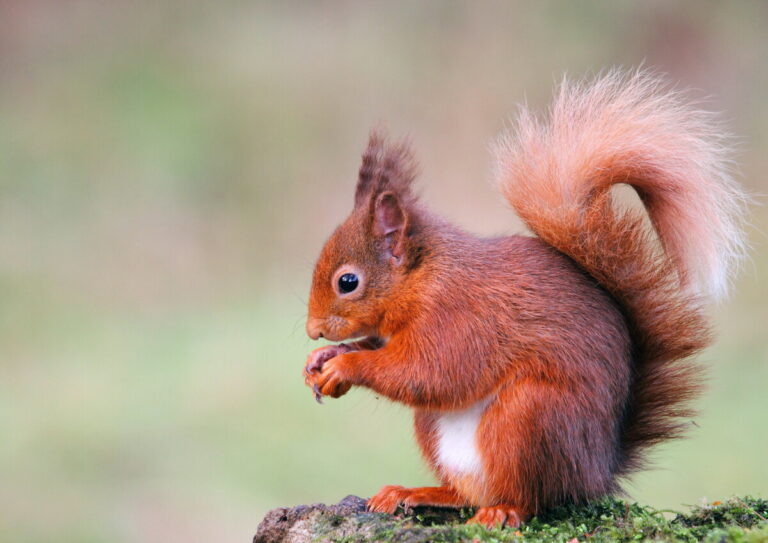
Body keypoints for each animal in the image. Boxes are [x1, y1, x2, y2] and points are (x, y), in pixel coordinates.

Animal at [304, 70, 748, 528]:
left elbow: (428, 372)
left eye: (348, 281)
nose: (312, 330)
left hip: (529, 417)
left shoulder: (460, 317)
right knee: (465, 492)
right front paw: (323, 359)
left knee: (532, 497)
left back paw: (502, 510)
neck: (424, 279)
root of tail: (598, 471)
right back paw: (417, 492)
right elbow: (385, 352)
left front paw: (345, 366)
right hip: (437, 427)